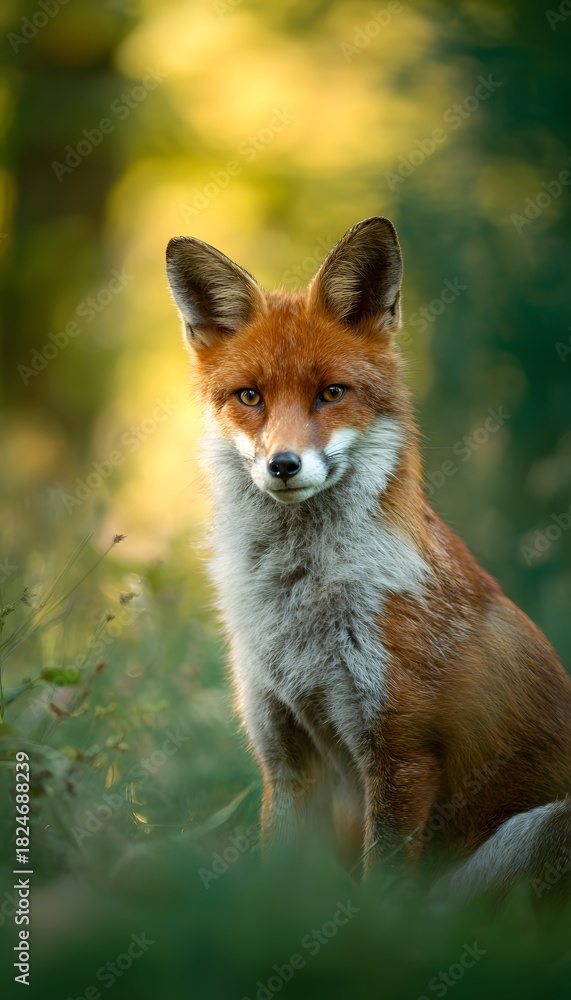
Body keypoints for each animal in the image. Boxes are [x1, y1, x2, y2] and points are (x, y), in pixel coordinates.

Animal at [166, 217, 571, 904]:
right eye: (249, 396)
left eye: (332, 393)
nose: (283, 465)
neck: (297, 610)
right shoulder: (286, 758)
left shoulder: (401, 756)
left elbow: (380, 899)